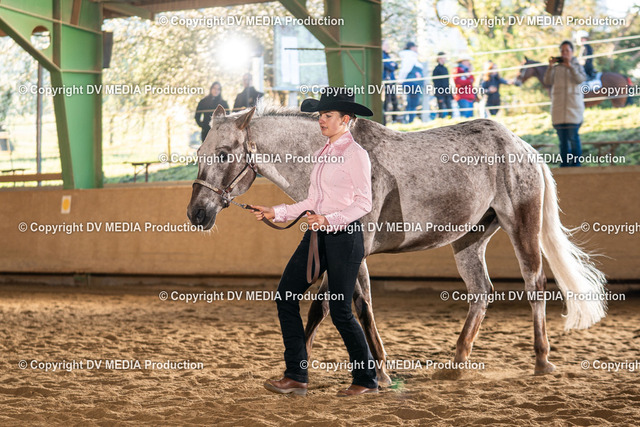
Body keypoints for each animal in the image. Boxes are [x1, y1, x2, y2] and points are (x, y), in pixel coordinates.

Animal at [187, 102, 607, 385]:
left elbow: (360, 305)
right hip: (469, 240)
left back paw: (541, 361)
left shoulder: (355, 251)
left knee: (535, 284)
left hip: (521, 225)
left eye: (223, 153)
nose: (196, 213)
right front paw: (296, 367)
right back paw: (456, 364)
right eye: (199, 153)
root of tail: (523, 147)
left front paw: (382, 373)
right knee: (481, 291)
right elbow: (319, 308)